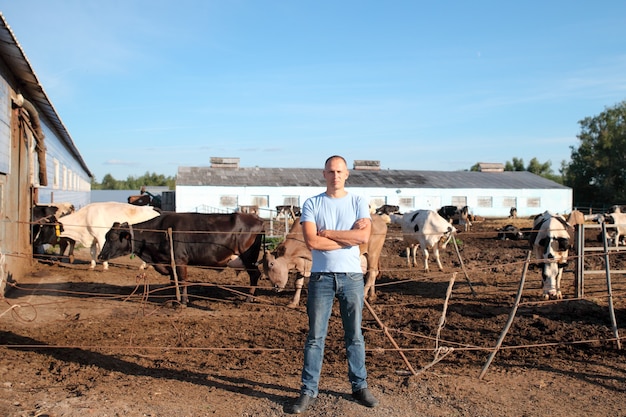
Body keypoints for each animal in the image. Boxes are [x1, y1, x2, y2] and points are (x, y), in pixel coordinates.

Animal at [33, 202, 161, 270]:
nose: (34, 241)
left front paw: (104, 266)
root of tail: (153, 208)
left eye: (43, 230)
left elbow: (101, 250)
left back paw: (144, 265)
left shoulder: (101, 236)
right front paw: (92, 265)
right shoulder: (92, 238)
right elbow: (92, 252)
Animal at [97, 213, 264, 304]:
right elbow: (173, 281)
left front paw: (183, 301)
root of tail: (257, 219)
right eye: (106, 236)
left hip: (248, 257)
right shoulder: (169, 262)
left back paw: (249, 298)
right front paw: (172, 299)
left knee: (255, 275)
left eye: (112, 237)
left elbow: (182, 280)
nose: (100, 256)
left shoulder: (180, 261)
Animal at [260, 214, 388, 306]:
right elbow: (298, 283)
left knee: (371, 273)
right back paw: (371, 296)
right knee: (374, 273)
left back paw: (364, 295)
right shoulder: (302, 264)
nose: (276, 287)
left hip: (373, 253)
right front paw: (293, 303)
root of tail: (381, 220)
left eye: (271, 264)